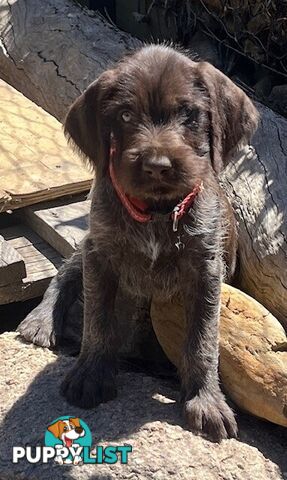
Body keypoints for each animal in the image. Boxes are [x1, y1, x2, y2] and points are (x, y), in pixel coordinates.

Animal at [20, 46, 260, 442]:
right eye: (126, 115)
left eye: (189, 114)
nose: (157, 166)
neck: (158, 213)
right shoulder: (100, 255)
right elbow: (97, 320)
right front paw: (91, 373)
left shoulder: (207, 273)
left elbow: (203, 341)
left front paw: (205, 400)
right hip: (89, 242)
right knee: (66, 272)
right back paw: (41, 319)